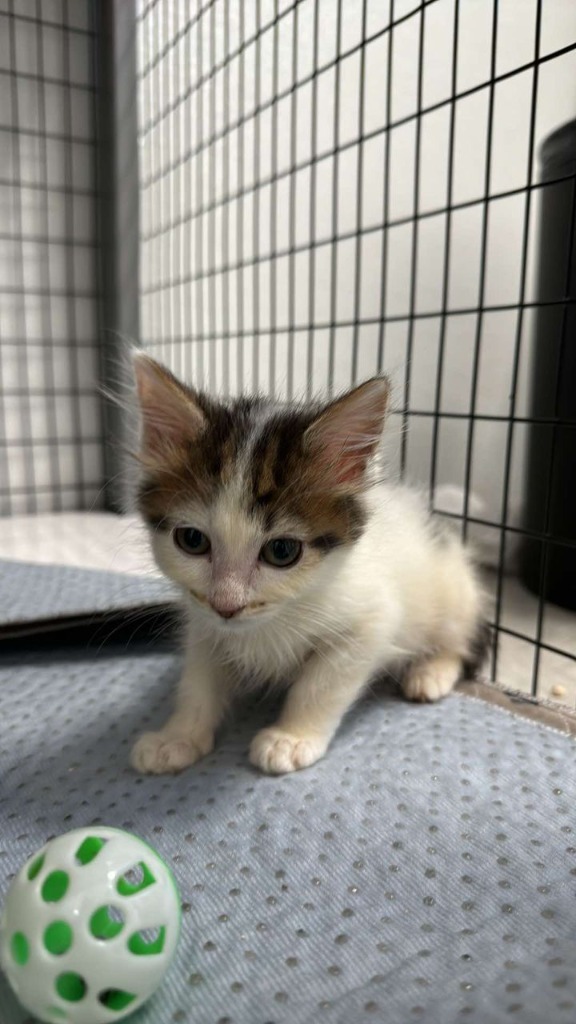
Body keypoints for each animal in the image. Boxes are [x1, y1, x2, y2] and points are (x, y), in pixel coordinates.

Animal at [129, 354, 483, 774]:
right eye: (192, 541)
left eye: (282, 551)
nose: (226, 606)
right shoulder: (204, 623)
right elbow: (198, 680)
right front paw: (178, 736)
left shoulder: (369, 622)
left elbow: (320, 684)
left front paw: (291, 737)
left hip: (454, 593)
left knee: (460, 640)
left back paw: (431, 672)